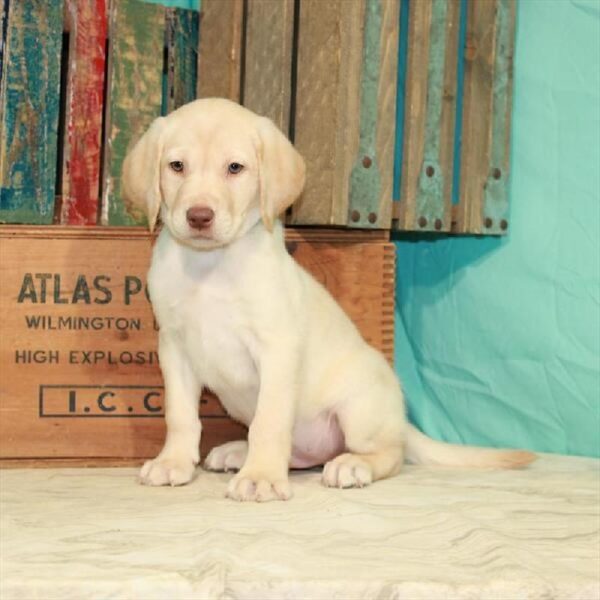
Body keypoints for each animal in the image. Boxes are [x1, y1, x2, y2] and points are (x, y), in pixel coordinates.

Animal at [122, 99, 536, 502]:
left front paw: (260, 477)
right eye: (177, 166)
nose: (199, 216)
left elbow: (269, 420)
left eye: (235, 168)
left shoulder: (277, 348)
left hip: (360, 407)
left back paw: (351, 465)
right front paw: (173, 462)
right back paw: (239, 452)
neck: (208, 266)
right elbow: (180, 416)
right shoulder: (174, 347)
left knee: (391, 455)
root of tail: (400, 420)